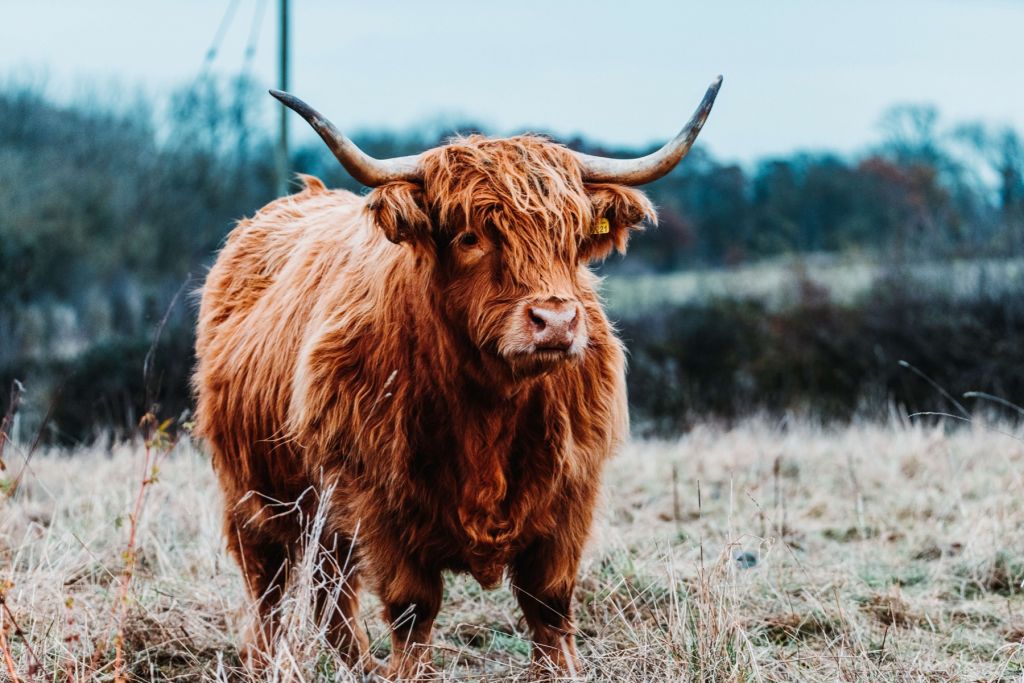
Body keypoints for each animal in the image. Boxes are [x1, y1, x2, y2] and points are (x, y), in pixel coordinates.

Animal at [192, 76, 720, 679]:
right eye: (471, 237)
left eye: (570, 237)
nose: (556, 321)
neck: (490, 405)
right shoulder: (379, 502)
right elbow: (412, 611)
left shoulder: (571, 497)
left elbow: (549, 605)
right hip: (252, 492)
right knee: (270, 586)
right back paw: (263, 663)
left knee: (331, 588)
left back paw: (356, 666)